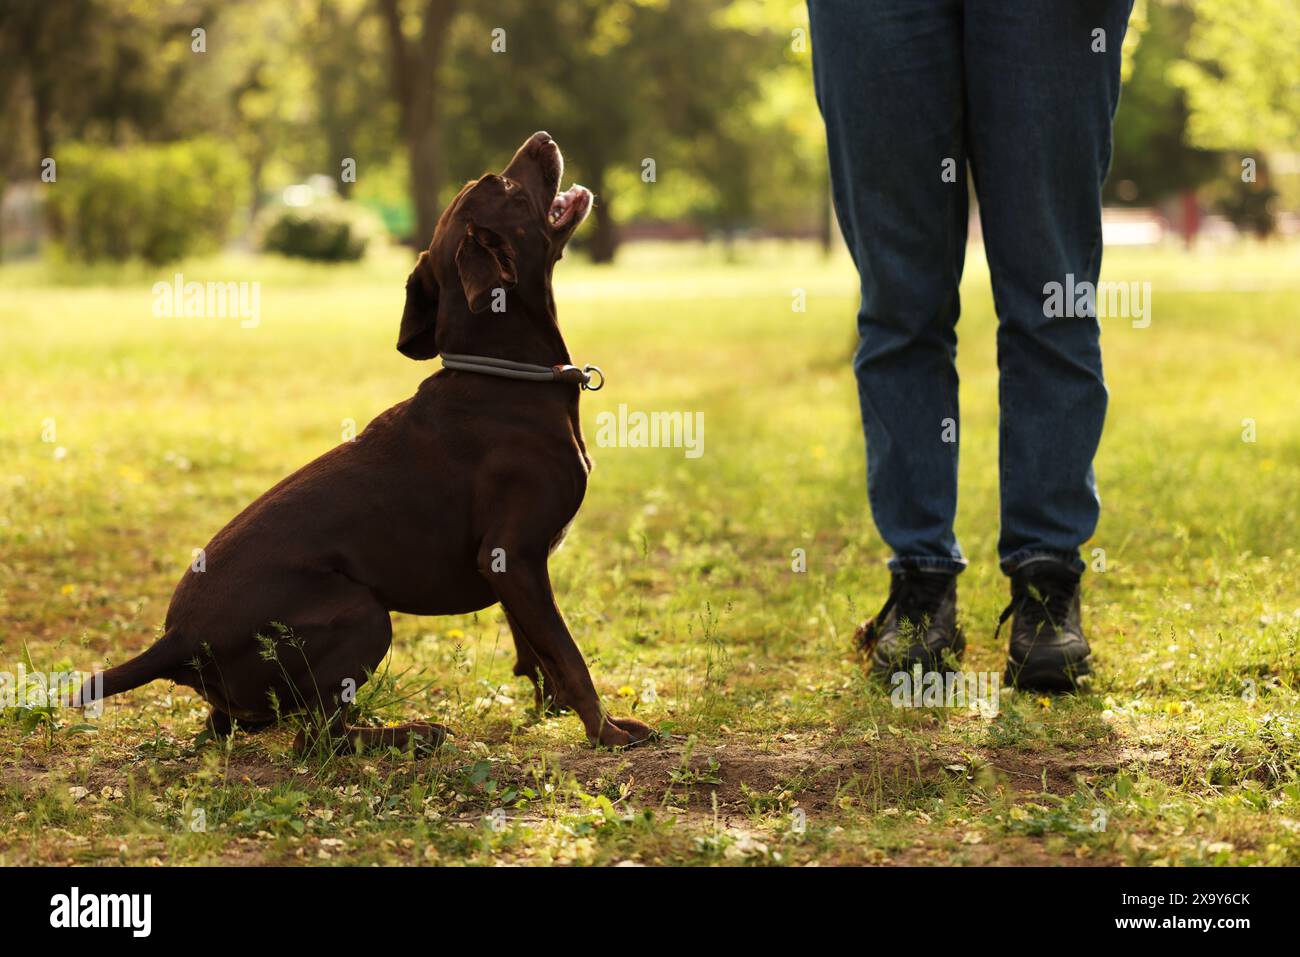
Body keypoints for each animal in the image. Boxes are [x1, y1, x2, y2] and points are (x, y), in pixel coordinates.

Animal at [76, 130, 655, 748]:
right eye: (502, 185)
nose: (543, 138)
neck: (505, 378)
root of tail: (177, 639)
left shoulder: (510, 567)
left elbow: (537, 652)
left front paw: (553, 713)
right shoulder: (515, 555)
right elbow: (568, 654)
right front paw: (605, 732)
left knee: (232, 724)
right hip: (362, 613)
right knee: (318, 735)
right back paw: (415, 733)